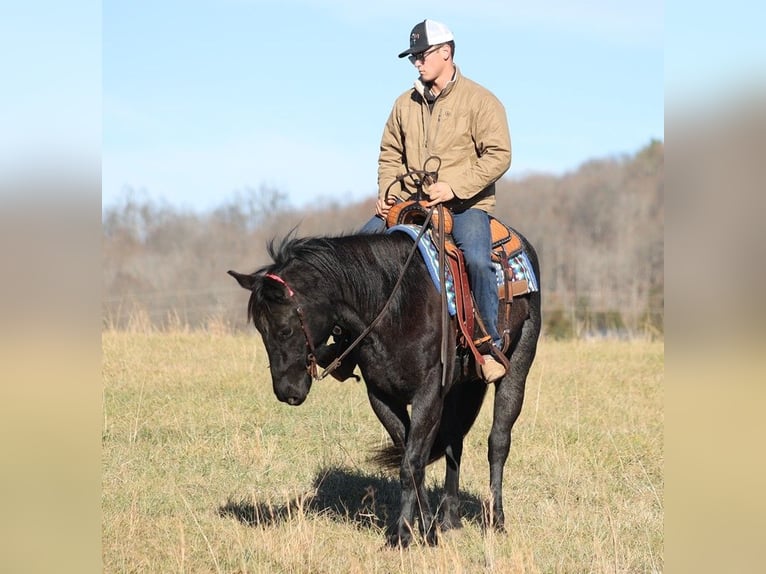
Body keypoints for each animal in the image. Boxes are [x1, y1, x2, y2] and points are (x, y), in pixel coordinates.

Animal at [226, 230, 540, 548]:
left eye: (285, 330)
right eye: (261, 331)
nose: (286, 391)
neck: (394, 305)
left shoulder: (428, 393)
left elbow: (411, 463)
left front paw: (402, 535)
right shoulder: (382, 396)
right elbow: (412, 460)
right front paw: (426, 530)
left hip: (517, 366)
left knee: (497, 443)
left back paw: (496, 521)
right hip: (461, 388)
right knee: (454, 442)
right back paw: (450, 520)